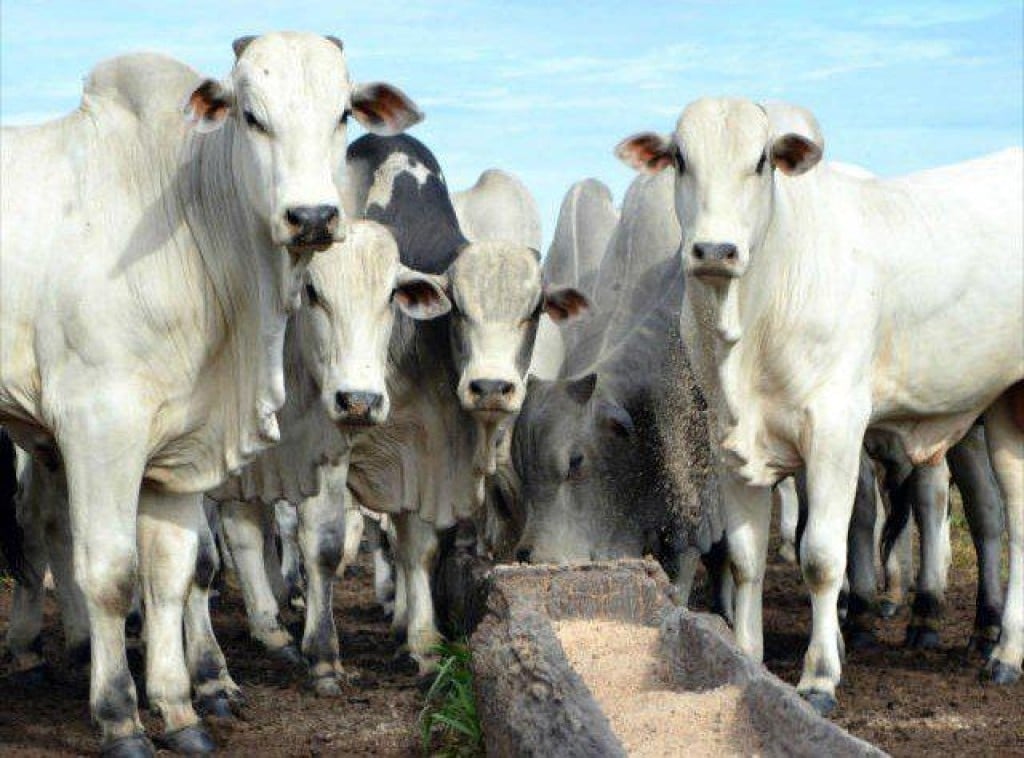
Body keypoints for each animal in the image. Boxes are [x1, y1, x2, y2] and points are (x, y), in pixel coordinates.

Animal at [0, 34, 419, 753]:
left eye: (343, 112)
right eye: (250, 115)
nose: (313, 215)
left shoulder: (188, 444)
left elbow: (179, 570)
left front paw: (182, 708)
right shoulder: (100, 424)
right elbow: (118, 571)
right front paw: (125, 715)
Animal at [614, 96, 1024, 708]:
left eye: (762, 160)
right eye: (681, 158)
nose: (715, 250)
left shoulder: (836, 430)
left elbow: (823, 557)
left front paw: (820, 675)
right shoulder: (729, 441)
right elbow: (745, 559)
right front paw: (749, 660)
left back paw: (999, 648)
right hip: (1000, 407)